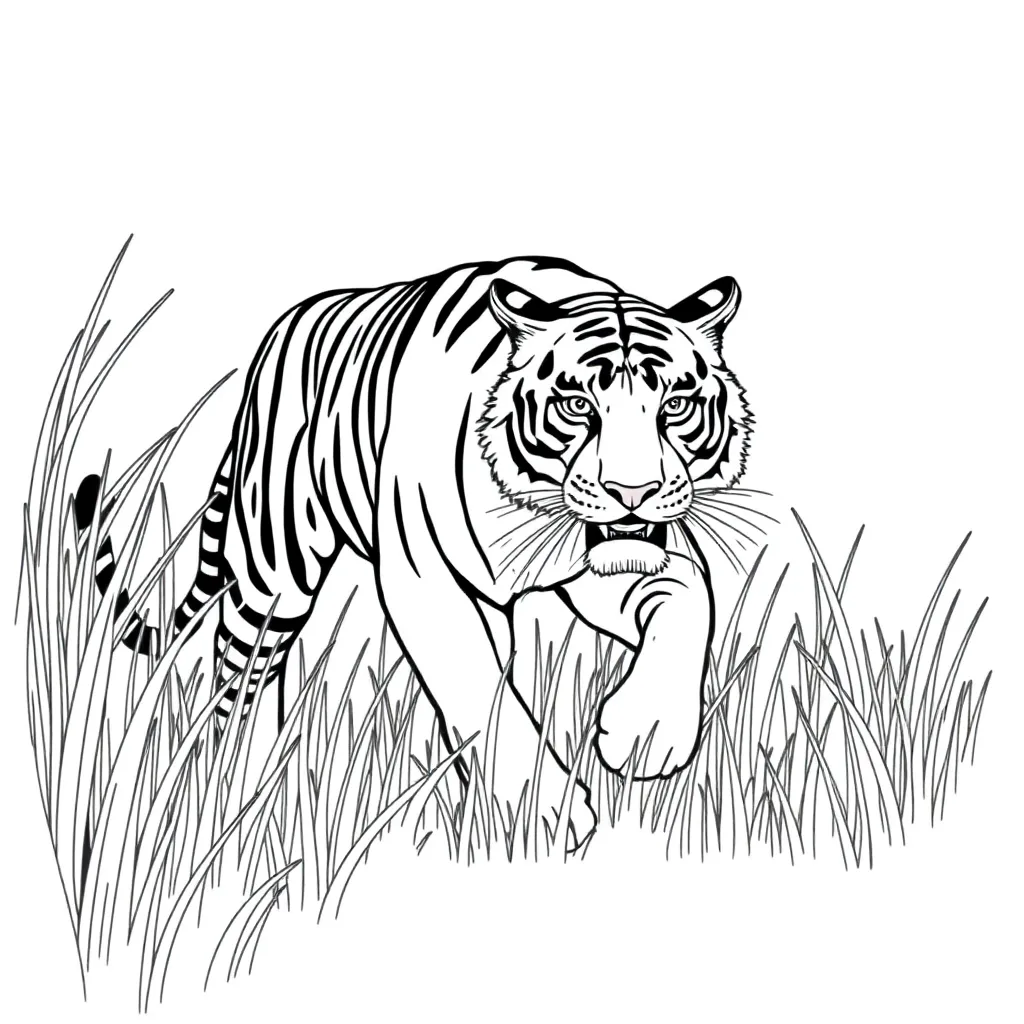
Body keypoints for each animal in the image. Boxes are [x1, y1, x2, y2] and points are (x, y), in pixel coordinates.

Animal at [75, 256, 753, 847]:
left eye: (675, 405)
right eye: (578, 405)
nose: (632, 493)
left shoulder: (604, 565)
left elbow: (690, 596)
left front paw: (646, 733)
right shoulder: (427, 583)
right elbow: (477, 687)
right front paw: (544, 812)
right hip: (274, 575)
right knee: (239, 679)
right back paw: (238, 787)